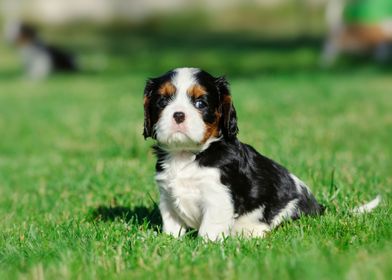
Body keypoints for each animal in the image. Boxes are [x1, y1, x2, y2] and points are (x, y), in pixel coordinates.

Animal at [143, 68, 380, 241]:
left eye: (200, 103)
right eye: (162, 101)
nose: (178, 115)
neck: (187, 154)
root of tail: (320, 209)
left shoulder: (218, 197)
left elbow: (209, 228)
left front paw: (204, 246)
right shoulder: (167, 197)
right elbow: (172, 225)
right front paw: (171, 242)